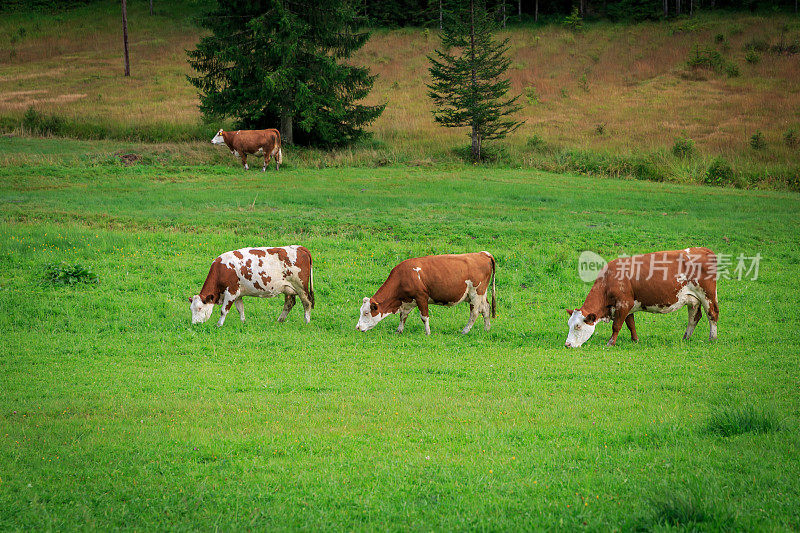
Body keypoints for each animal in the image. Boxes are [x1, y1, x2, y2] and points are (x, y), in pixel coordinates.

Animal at [564, 247, 720, 348]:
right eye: (569, 324)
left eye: (578, 326)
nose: (567, 344)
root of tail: (704, 249)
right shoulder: (628, 306)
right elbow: (630, 324)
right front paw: (635, 340)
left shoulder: (624, 303)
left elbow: (617, 326)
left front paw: (610, 343)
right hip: (692, 299)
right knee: (694, 317)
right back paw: (686, 338)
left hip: (707, 295)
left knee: (712, 314)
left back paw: (712, 338)